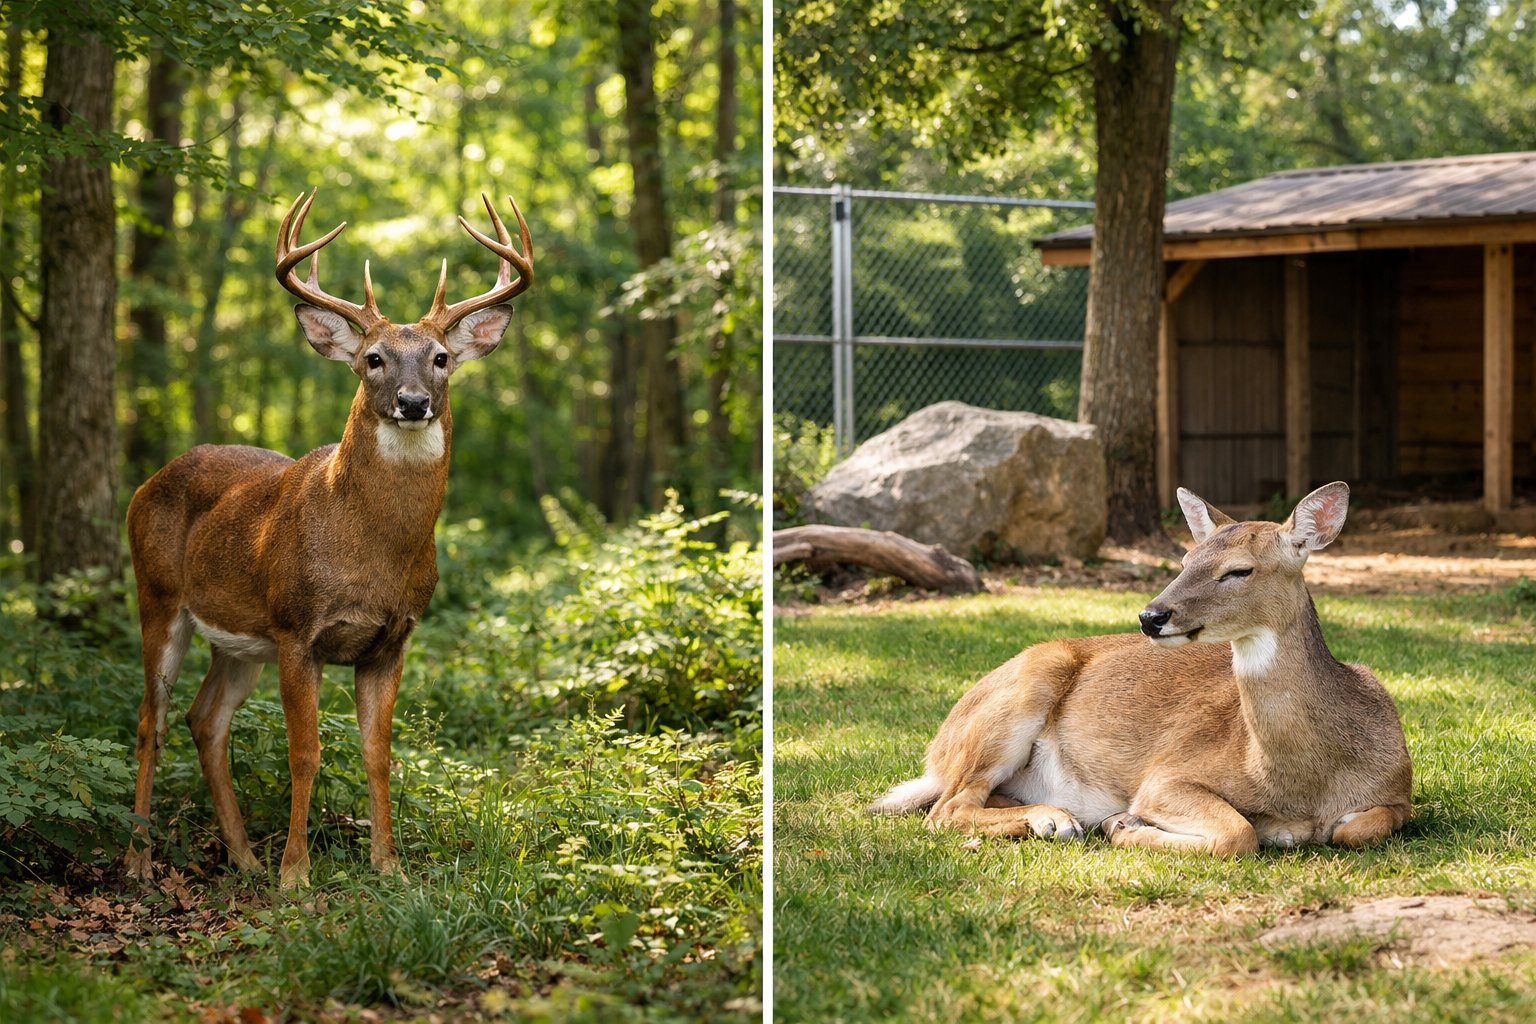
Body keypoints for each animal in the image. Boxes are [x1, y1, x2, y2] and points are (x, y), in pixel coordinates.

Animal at [124, 189, 533, 887]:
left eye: (441, 358)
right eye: (373, 359)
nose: (414, 401)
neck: (371, 551)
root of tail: (146, 483)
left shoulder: (392, 640)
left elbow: (378, 754)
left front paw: (389, 867)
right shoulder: (297, 630)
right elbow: (305, 754)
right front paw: (296, 876)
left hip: (239, 641)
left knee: (205, 720)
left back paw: (244, 859)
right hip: (158, 596)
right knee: (152, 719)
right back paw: (139, 861)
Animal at [870, 482, 1411, 855]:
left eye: (1239, 569)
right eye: (1186, 559)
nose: (1151, 616)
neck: (1304, 780)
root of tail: (937, 750)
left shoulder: (1398, 791)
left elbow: (1360, 828)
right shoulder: (1167, 775)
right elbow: (1237, 834)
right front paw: (1124, 824)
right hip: (1018, 694)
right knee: (947, 807)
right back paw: (1058, 821)